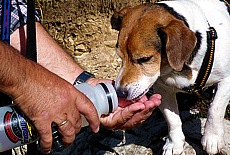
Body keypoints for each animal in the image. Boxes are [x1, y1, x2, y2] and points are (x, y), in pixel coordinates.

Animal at [111, 0, 230, 154]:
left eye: (145, 59)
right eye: (120, 57)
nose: (120, 92)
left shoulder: (226, 80)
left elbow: (215, 108)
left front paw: (212, 138)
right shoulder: (163, 90)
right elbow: (172, 119)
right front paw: (174, 143)